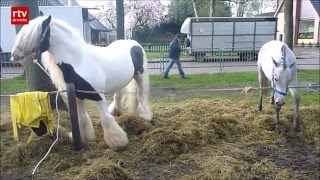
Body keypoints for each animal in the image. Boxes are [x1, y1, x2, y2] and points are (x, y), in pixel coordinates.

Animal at [10, 15, 153, 150]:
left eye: (33, 35)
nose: (13, 56)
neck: (79, 60)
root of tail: (133, 43)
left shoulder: (98, 95)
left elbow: (106, 118)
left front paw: (118, 143)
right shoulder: (78, 95)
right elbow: (81, 117)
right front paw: (83, 138)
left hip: (139, 76)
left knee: (141, 95)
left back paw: (145, 115)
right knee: (118, 95)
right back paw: (116, 111)